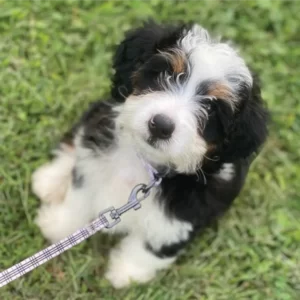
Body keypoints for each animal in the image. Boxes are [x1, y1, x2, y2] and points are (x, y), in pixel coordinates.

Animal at [31, 21, 268, 288]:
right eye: (165, 74)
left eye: (211, 107)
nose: (161, 125)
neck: (146, 163)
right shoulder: (93, 164)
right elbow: (79, 197)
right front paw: (59, 225)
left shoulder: (183, 217)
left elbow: (151, 247)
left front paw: (126, 272)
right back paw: (50, 180)